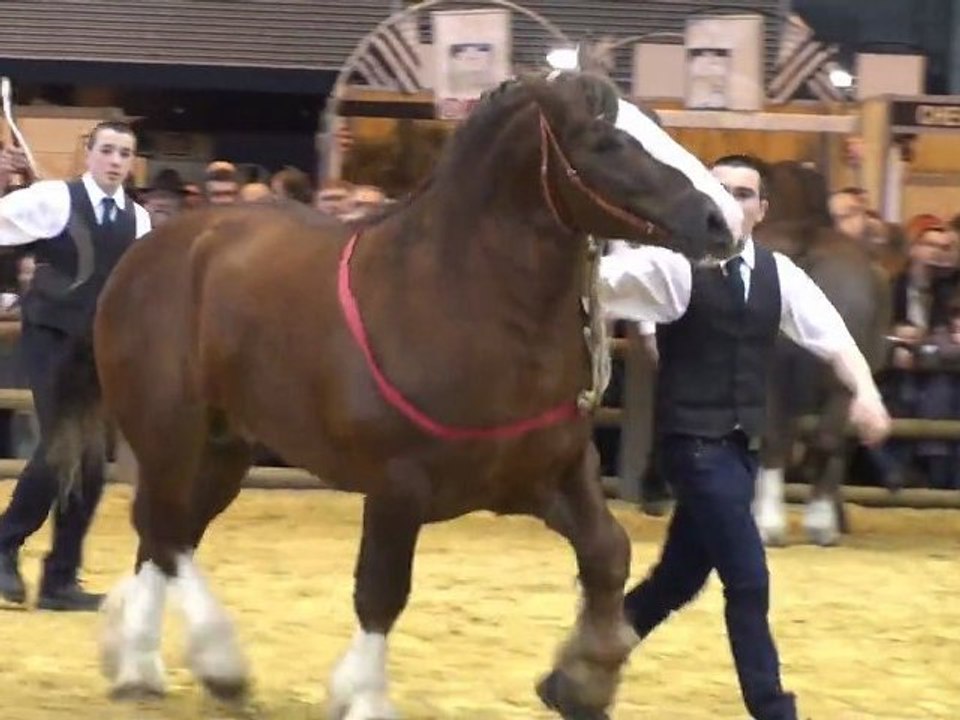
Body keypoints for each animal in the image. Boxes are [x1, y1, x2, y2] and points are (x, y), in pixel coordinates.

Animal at [47, 71, 741, 720]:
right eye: (606, 140)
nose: (725, 222)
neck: (457, 299)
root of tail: (144, 253)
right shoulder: (397, 486)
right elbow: (381, 591)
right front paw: (363, 695)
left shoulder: (554, 475)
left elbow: (608, 555)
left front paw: (581, 680)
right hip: (170, 434)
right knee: (165, 530)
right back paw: (215, 664)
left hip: (226, 447)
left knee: (165, 534)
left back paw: (138, 663)